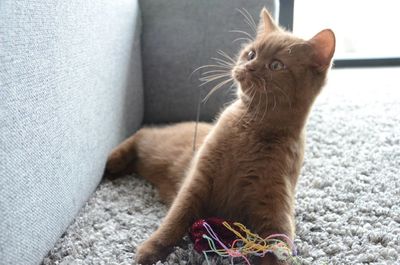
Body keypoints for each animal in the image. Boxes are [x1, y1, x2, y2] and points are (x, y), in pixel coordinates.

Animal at [105, 8, 334, 264]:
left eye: (276, 65)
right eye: (251, 54)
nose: (250, 66)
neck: (251, 128)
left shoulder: (274, 203)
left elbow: (278, 243)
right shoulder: (198, 179)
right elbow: (176, 217)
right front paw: (151, 249)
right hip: (158, 148)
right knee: (144, 132)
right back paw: (113, 161)